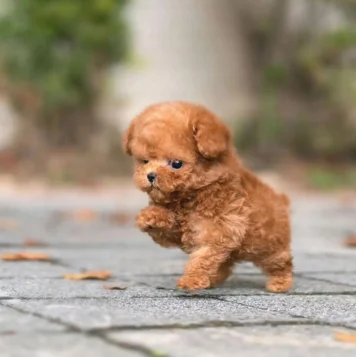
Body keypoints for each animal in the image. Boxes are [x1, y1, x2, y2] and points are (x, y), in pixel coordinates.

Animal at [122, 101, 292, 292]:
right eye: (144, 161)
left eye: (176, 164)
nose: (151, 176)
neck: (192, 195)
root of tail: (281, 199)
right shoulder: (180, 233)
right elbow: (169, 226)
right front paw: (149, 217)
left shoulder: (219, 231)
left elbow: (203, 257)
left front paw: (191, 279)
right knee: (225, 264)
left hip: (268, 246)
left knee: (281, 262)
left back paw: (279, 282)